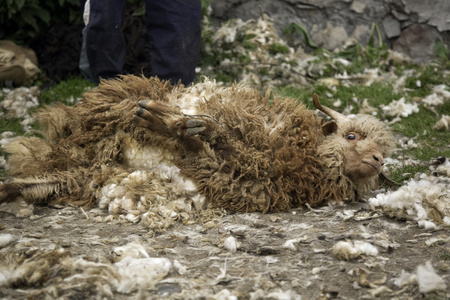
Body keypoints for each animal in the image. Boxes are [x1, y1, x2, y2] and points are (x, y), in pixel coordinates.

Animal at [0, 75, 394, 223]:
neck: (308, 156)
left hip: (88, 173)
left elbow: (210, 151)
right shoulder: (253, 137)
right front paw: (180, 124)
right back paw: (162, 116)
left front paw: (181, 129)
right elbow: (219, 135)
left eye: (381, 149)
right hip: (111, 115)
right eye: (351, 136)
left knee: (50, 182)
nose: (377, 160)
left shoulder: (247, 179)